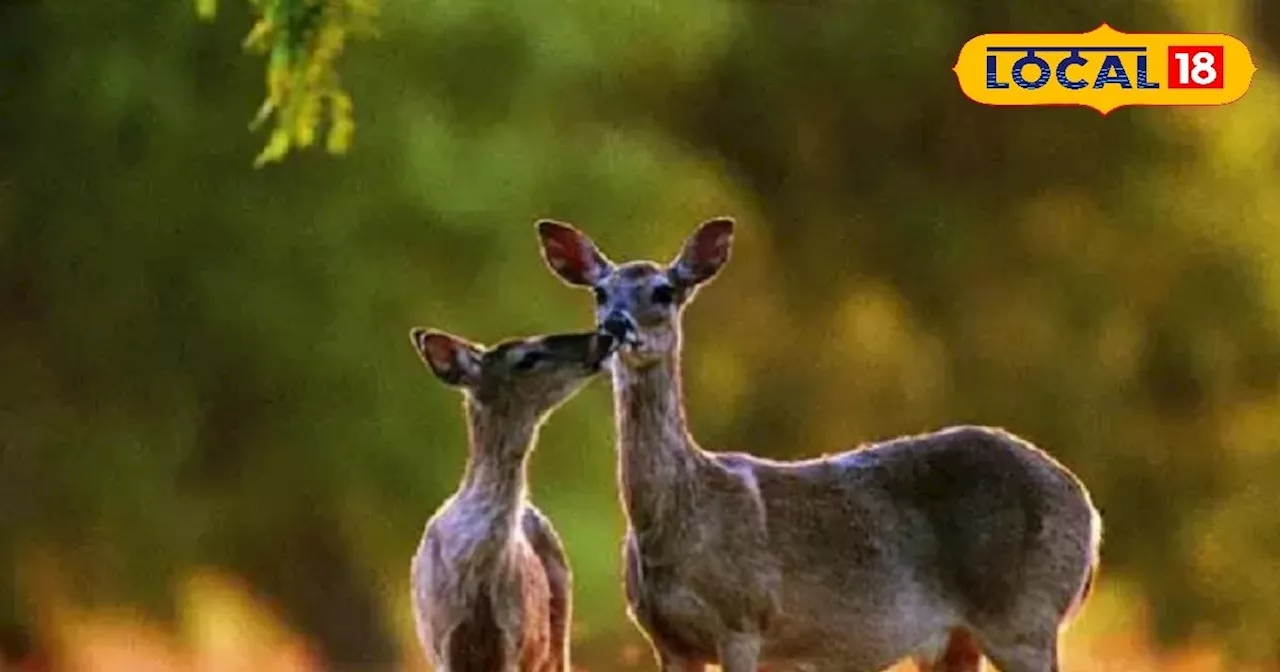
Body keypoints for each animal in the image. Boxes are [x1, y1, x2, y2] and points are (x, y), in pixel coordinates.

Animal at [535, 218, 1105, 670]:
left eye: (663, 291)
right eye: (600, 292)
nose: (615, 327)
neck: (679, 522)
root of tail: (1088, 508)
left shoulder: (744, 620)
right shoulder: (668, 640)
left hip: (1026, 615)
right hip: (959, 640)